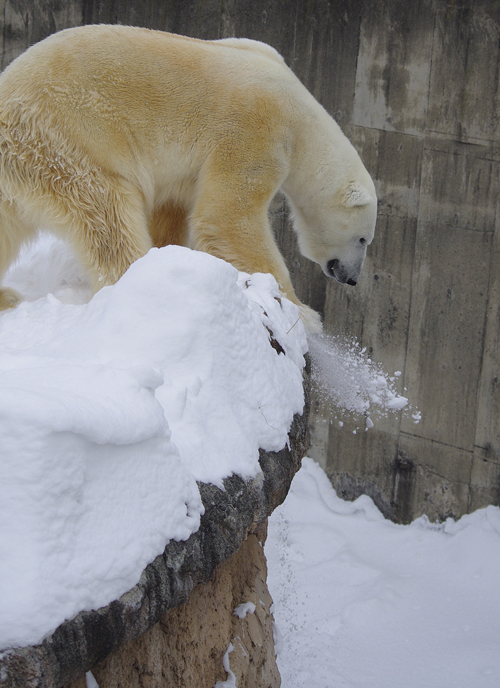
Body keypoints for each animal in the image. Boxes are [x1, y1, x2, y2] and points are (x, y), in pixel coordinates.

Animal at [0, 24, 376, 330]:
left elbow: (174, 208)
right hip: (65, 142)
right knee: (109, 215)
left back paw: (7, 296)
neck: (302, 119)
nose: (353, 279)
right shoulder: (255, 132)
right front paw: (305, 313)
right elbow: (227, 218)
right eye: (363, 239)